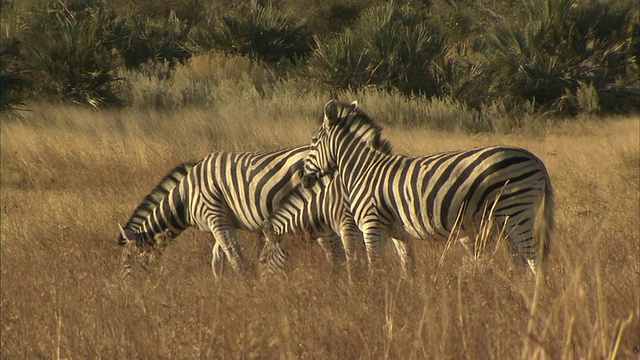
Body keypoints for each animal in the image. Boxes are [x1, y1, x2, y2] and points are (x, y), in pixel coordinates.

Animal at [119, 146, 314, 276]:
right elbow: (217, 258)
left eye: (127, 262)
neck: (186, 198)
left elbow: (233, 256)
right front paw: (219, 287)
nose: (128, 291)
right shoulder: (222, 221)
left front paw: (245, 286)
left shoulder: (216, 217)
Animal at [300, 100, 556, 274]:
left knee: (534, 258)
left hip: (516, 211)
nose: (302, 177)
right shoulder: (399, 234)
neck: (364, 170)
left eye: (313, 142)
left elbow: (375, 268)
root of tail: (536, 159)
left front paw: (376, 298)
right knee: (521, 260)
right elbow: (408, 269)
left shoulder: (372, 226)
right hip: (507, 218)